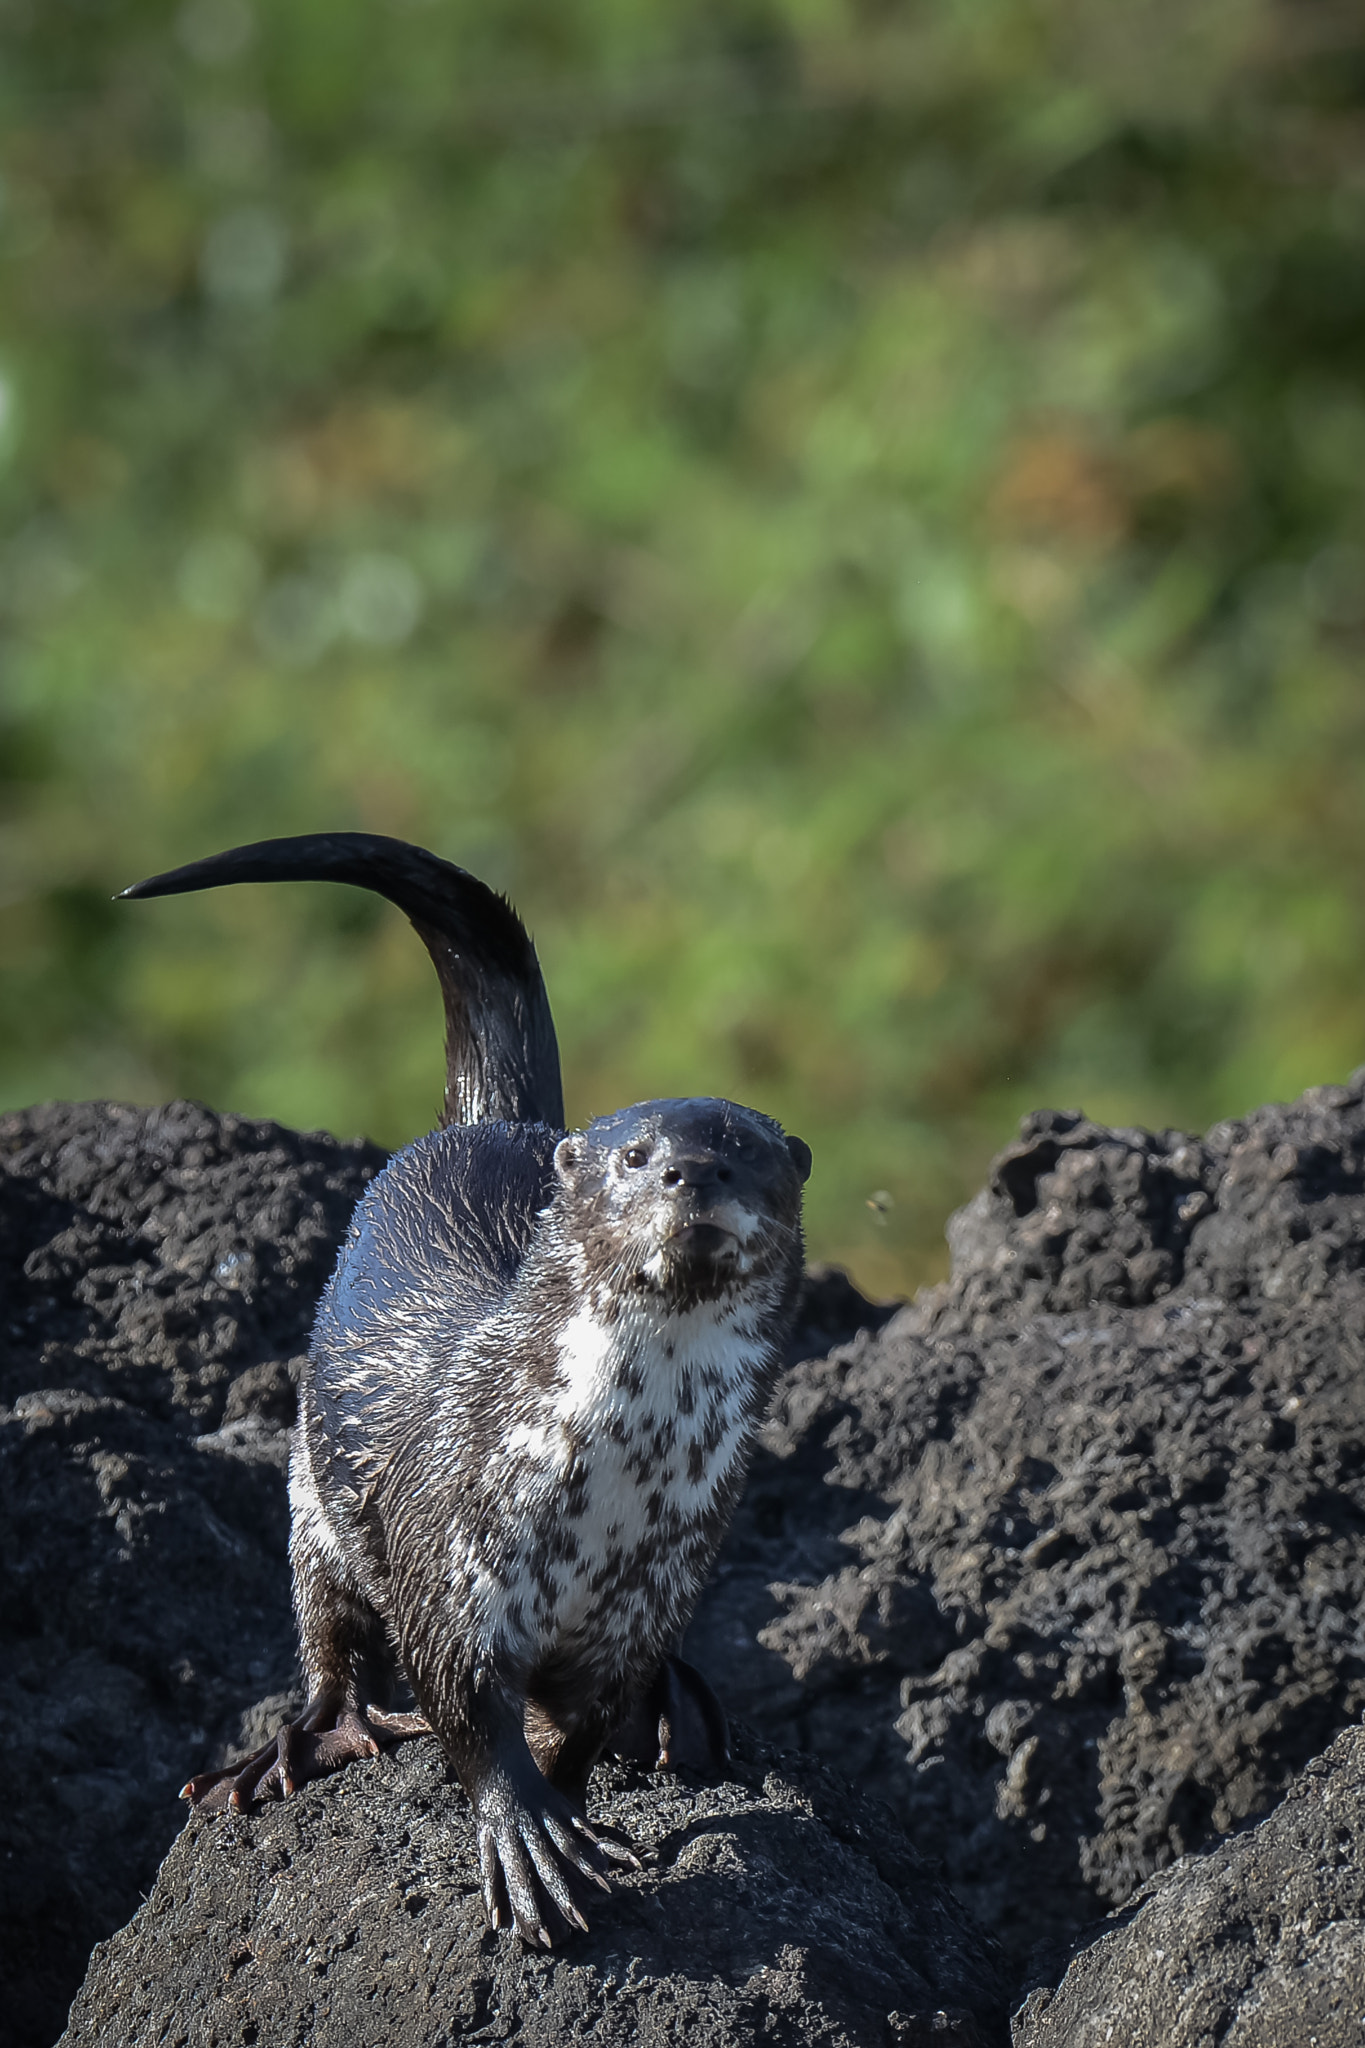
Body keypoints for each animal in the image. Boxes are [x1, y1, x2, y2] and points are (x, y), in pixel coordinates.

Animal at [120, 835, 810, 1946]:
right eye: (635, 1155)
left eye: (746, 1152)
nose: (692, 1173)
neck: (616, 1480)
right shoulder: (450, 1545)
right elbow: (461, 1699)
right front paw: (526, 1837)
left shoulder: (663, 1574)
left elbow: (582, 1721)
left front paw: (578, 1801)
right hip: (308, 1495)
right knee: (326, 1626)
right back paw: (304, 1740)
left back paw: (674, 1712)